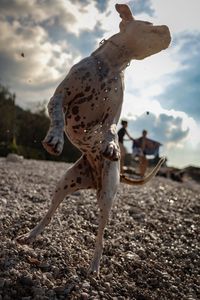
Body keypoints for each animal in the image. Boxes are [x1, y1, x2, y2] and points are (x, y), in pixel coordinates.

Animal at [16, 4, 171, 276]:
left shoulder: (112, 117)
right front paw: (55, 139)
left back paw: (95, 266)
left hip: (107, 197)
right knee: (49, 214)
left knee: (100, 237)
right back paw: (31, 235)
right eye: (150, 25)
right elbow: (58, 117)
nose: (169, 30)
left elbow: (110, 130)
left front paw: (111, 146)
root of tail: (93, 180)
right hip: (64, 184)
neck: (109, 65)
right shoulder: (60, 97)